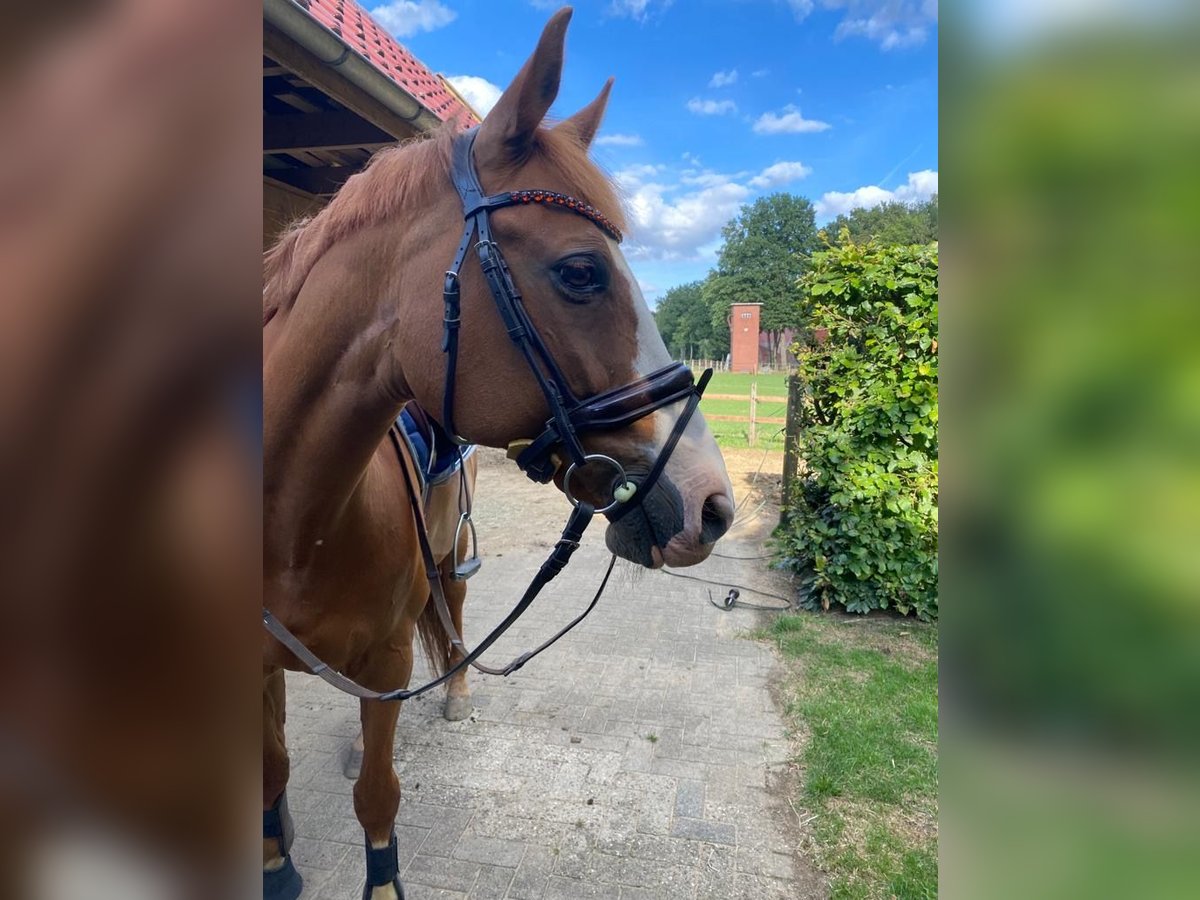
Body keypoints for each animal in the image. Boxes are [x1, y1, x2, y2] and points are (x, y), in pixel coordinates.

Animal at [261, 8, 729, 900]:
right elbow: (271, 790)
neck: (289, 531)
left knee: (453, 611)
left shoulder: (385, 660)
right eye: (580, 271)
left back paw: (454, 692)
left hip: (445, 553)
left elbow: (379, 800)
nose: (713, 503)